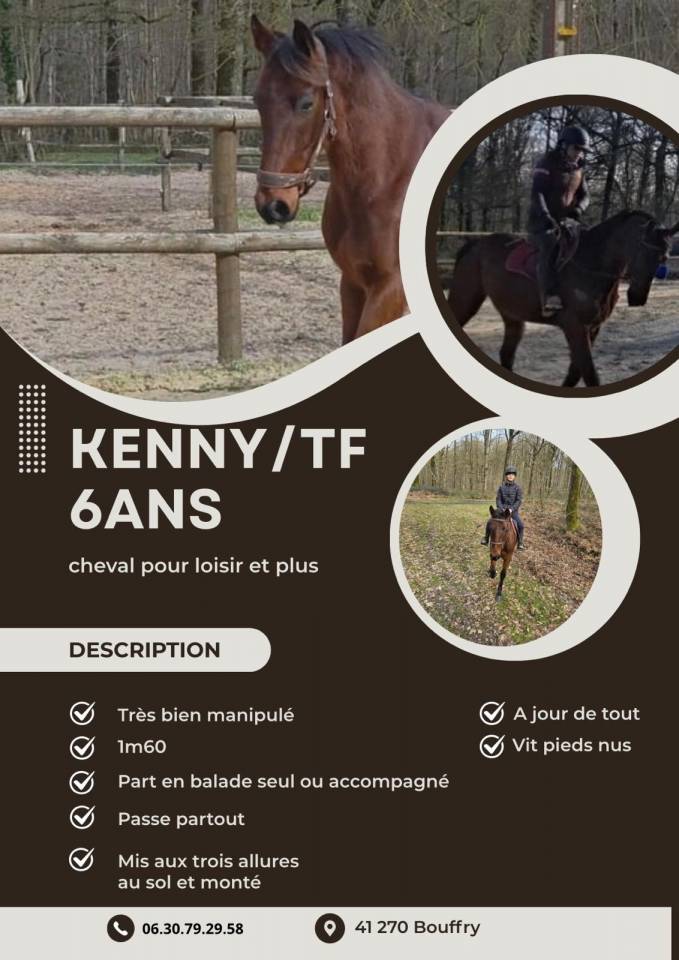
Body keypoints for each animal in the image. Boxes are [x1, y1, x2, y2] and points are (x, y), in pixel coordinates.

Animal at [444, 210, 679, 387]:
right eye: (643, 251)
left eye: (663, 257)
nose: (638, 297)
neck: (591, 263)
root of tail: (475, 244)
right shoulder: (575, 326)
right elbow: (589, 373)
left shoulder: (593, 327)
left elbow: (576, 372)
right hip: (466, 299)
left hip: (512, 314)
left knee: (507, 354)